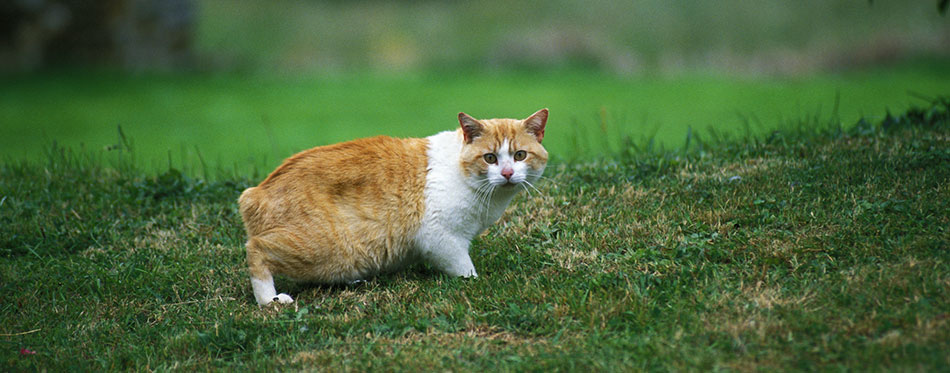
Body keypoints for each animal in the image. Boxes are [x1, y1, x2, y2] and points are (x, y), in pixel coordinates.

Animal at [238, 109, 552, 304]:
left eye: (520, 155)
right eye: (490, 158)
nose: (508, 173)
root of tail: (256, 192)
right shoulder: (442, 239)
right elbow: (465, 269)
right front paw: (474, 281)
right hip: (320, 248)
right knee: (256, 249)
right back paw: (268, 300)